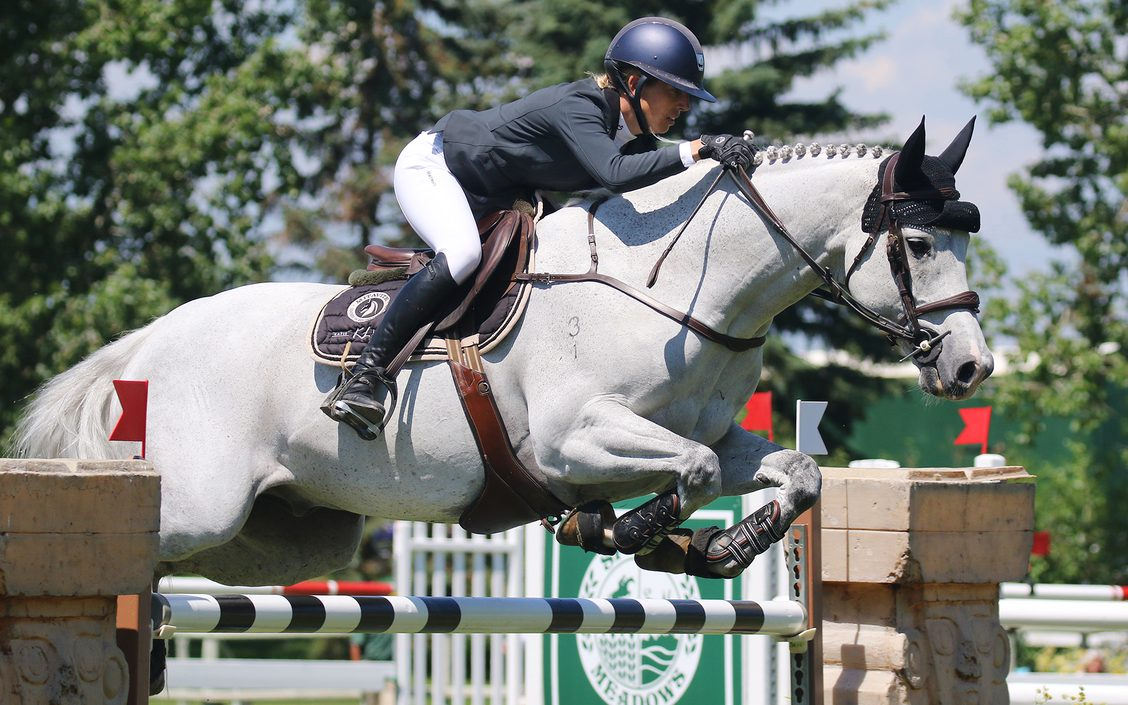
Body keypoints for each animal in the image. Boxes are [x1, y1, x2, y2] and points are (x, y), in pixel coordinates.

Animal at [15, 119, 988, 582]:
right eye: (919, 244)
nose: (972, 366)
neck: (680, 289)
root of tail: (150, 339)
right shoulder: (570, 439)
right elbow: (694, 472)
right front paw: (626, 529)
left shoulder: (721, 429)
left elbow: (794, 471)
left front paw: (720, 549)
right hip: (200, 502)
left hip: (289, 533)